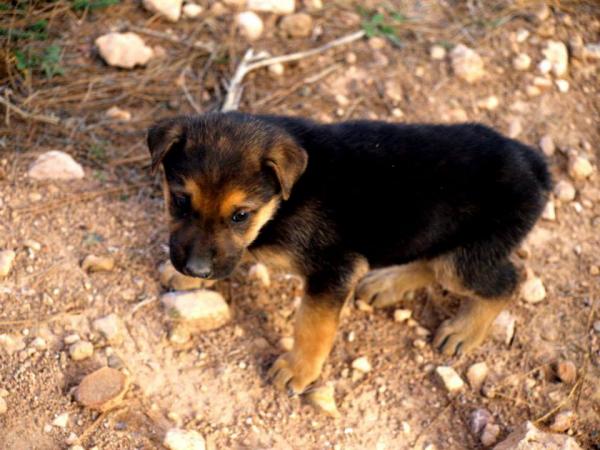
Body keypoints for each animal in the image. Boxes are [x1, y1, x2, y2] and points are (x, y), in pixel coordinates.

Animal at [148, 112, 552, 394]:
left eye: (240, 215)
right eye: (180, 200)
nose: (196, 268)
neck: (286, 199)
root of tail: (533, 163)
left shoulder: (334, 269)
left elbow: (312, 325)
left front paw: (298, 369)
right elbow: (241, 251)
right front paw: (182, 275)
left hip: (465, 259)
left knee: (505, 280)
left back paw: (464, 330)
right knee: (430, 261)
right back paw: (387, 283)